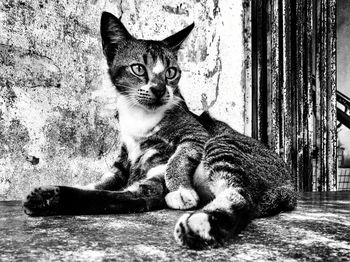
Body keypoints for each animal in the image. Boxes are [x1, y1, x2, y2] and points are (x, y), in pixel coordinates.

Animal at [21, 11, 296, 250]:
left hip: (223, 144)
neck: (138, 117)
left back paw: (202, 225)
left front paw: (181, 190)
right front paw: (52, 194)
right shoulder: (122, 162)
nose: (159, 89)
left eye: (171, 72)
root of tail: (289, 187)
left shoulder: (193, 138)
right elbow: (101, 184)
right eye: (138, 69)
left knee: (240, 195)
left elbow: (163, 168)